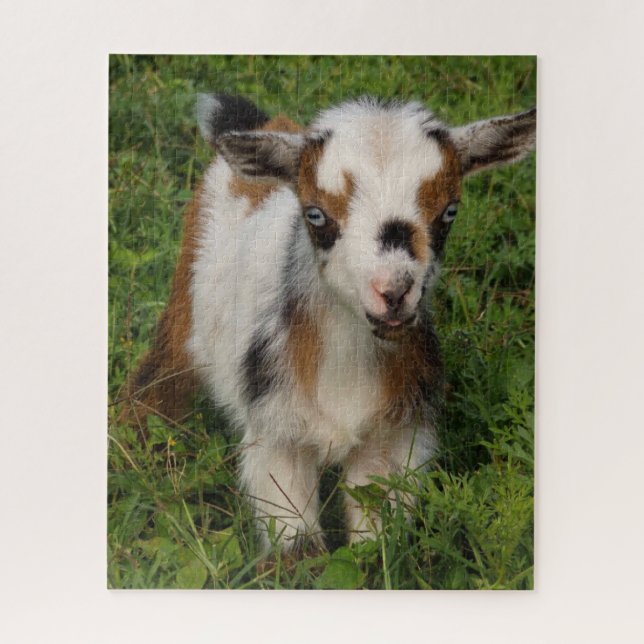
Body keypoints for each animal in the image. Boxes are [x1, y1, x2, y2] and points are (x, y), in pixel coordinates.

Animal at [123, 93, 536, 552]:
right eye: (316, 215)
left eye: (450, 211)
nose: (393, 292)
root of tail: (267, 124)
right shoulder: (276, 433)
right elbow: (295, 548)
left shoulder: (390, 438)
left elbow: (375, 543)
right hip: (184, 310)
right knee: (157, 383)